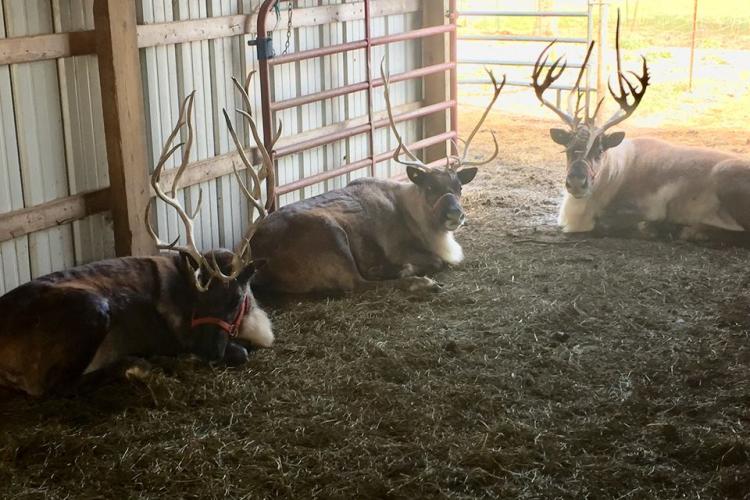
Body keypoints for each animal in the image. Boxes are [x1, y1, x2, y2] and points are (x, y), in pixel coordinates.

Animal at [0, 76, 275, 397]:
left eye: (234, 301)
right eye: (198, 299)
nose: (206, 353)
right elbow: (239, 351)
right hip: (92, 309)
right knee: (59, 386)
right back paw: (137, 365)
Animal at [248, 62, 505, 294]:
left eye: (459, 187)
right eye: (430, 187)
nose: (455, 214)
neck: (419, 219)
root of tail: (257, 253)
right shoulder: (399, 248)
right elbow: (436, 261)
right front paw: (405, 270)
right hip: (333, 236)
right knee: (357, 283)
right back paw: (417, 281)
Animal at [531, 12, 750, 238]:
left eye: (600, 151)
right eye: (567, 149)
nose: (576, 181)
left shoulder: (645, 207)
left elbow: (615, 223)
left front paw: (660, 227)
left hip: (726, 177)